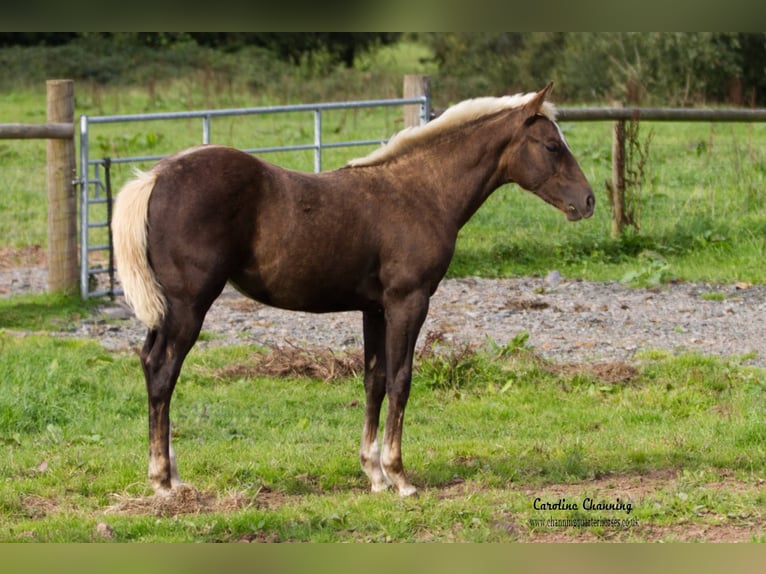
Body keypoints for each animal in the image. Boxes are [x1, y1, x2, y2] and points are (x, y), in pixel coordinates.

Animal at [112, 83, 595, 497]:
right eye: (552, 146)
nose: (587, 201)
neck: (420, 192)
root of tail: (154, 177)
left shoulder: (375, 309)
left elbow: (374, 380)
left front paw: (374, 473)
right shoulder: (408, 301)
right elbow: (401, 380)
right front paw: (400, 477)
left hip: (168, 309)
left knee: (149, 363)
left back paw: (173, 475)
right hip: (190, 305)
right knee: (163, 370)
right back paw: (162, 481)